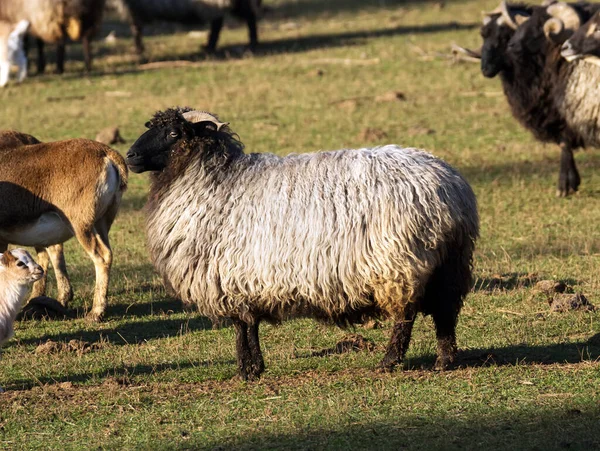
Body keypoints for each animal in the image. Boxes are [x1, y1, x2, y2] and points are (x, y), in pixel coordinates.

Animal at [125, 107, 478, 380]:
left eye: (174, 133)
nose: (130, 156)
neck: (214, 182)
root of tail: (452, 187)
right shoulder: (240, 280)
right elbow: (249, 326)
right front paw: (254, 368)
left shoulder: (229, 277)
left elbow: (242, 327)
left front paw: (246, 371)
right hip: (449, 262)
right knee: (445, 312)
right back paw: (444, 361)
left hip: (399, 264)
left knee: (405, 317)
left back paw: (388, 362)